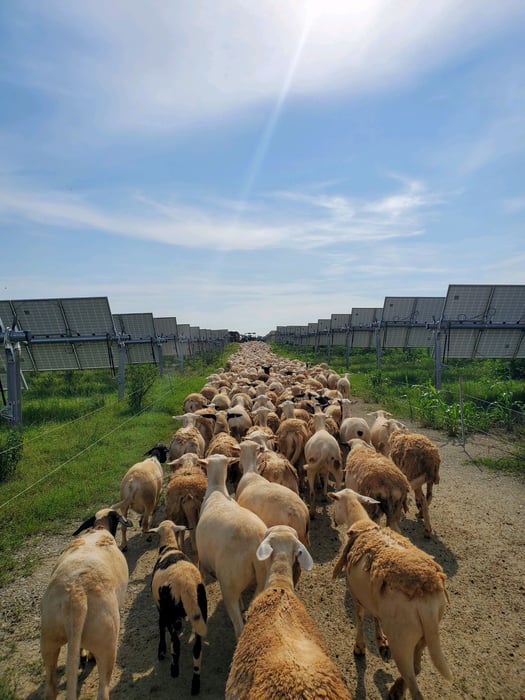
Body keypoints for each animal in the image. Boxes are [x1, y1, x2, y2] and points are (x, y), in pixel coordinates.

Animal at [40, 508, 132, 700]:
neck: (98, 528)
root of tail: (77, 596)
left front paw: (82, 656)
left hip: (49, 638)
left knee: (50, 687)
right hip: (107, 641)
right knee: (103, 690)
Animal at [147, 520, 207, 696]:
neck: (169, 547)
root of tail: (186, 584)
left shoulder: (161, 609)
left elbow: (160, 627)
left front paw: (161, 651)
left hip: (170, 611)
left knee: (176, 643)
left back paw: (174, 670)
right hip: (202, 610)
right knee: (197, 649)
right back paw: (195, 684)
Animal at [194, 452, 266, 636]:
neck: (217, 490)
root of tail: (255, 547)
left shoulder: (203, 561)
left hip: (228, 585)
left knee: (239, 627)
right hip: (263, 582)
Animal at [332, 486, 450, 700]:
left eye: (334, 502)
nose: (334, 520)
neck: (361, 523)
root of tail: (427, 605)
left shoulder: (356, 594)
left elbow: (360, 618)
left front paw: (359, 647)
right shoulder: (373, 594)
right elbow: (375, 618)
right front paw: (380, 641)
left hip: (402, 640)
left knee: (414, 684)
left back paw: (397, 691)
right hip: (424, 637)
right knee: (417, 668)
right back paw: (396, 688)